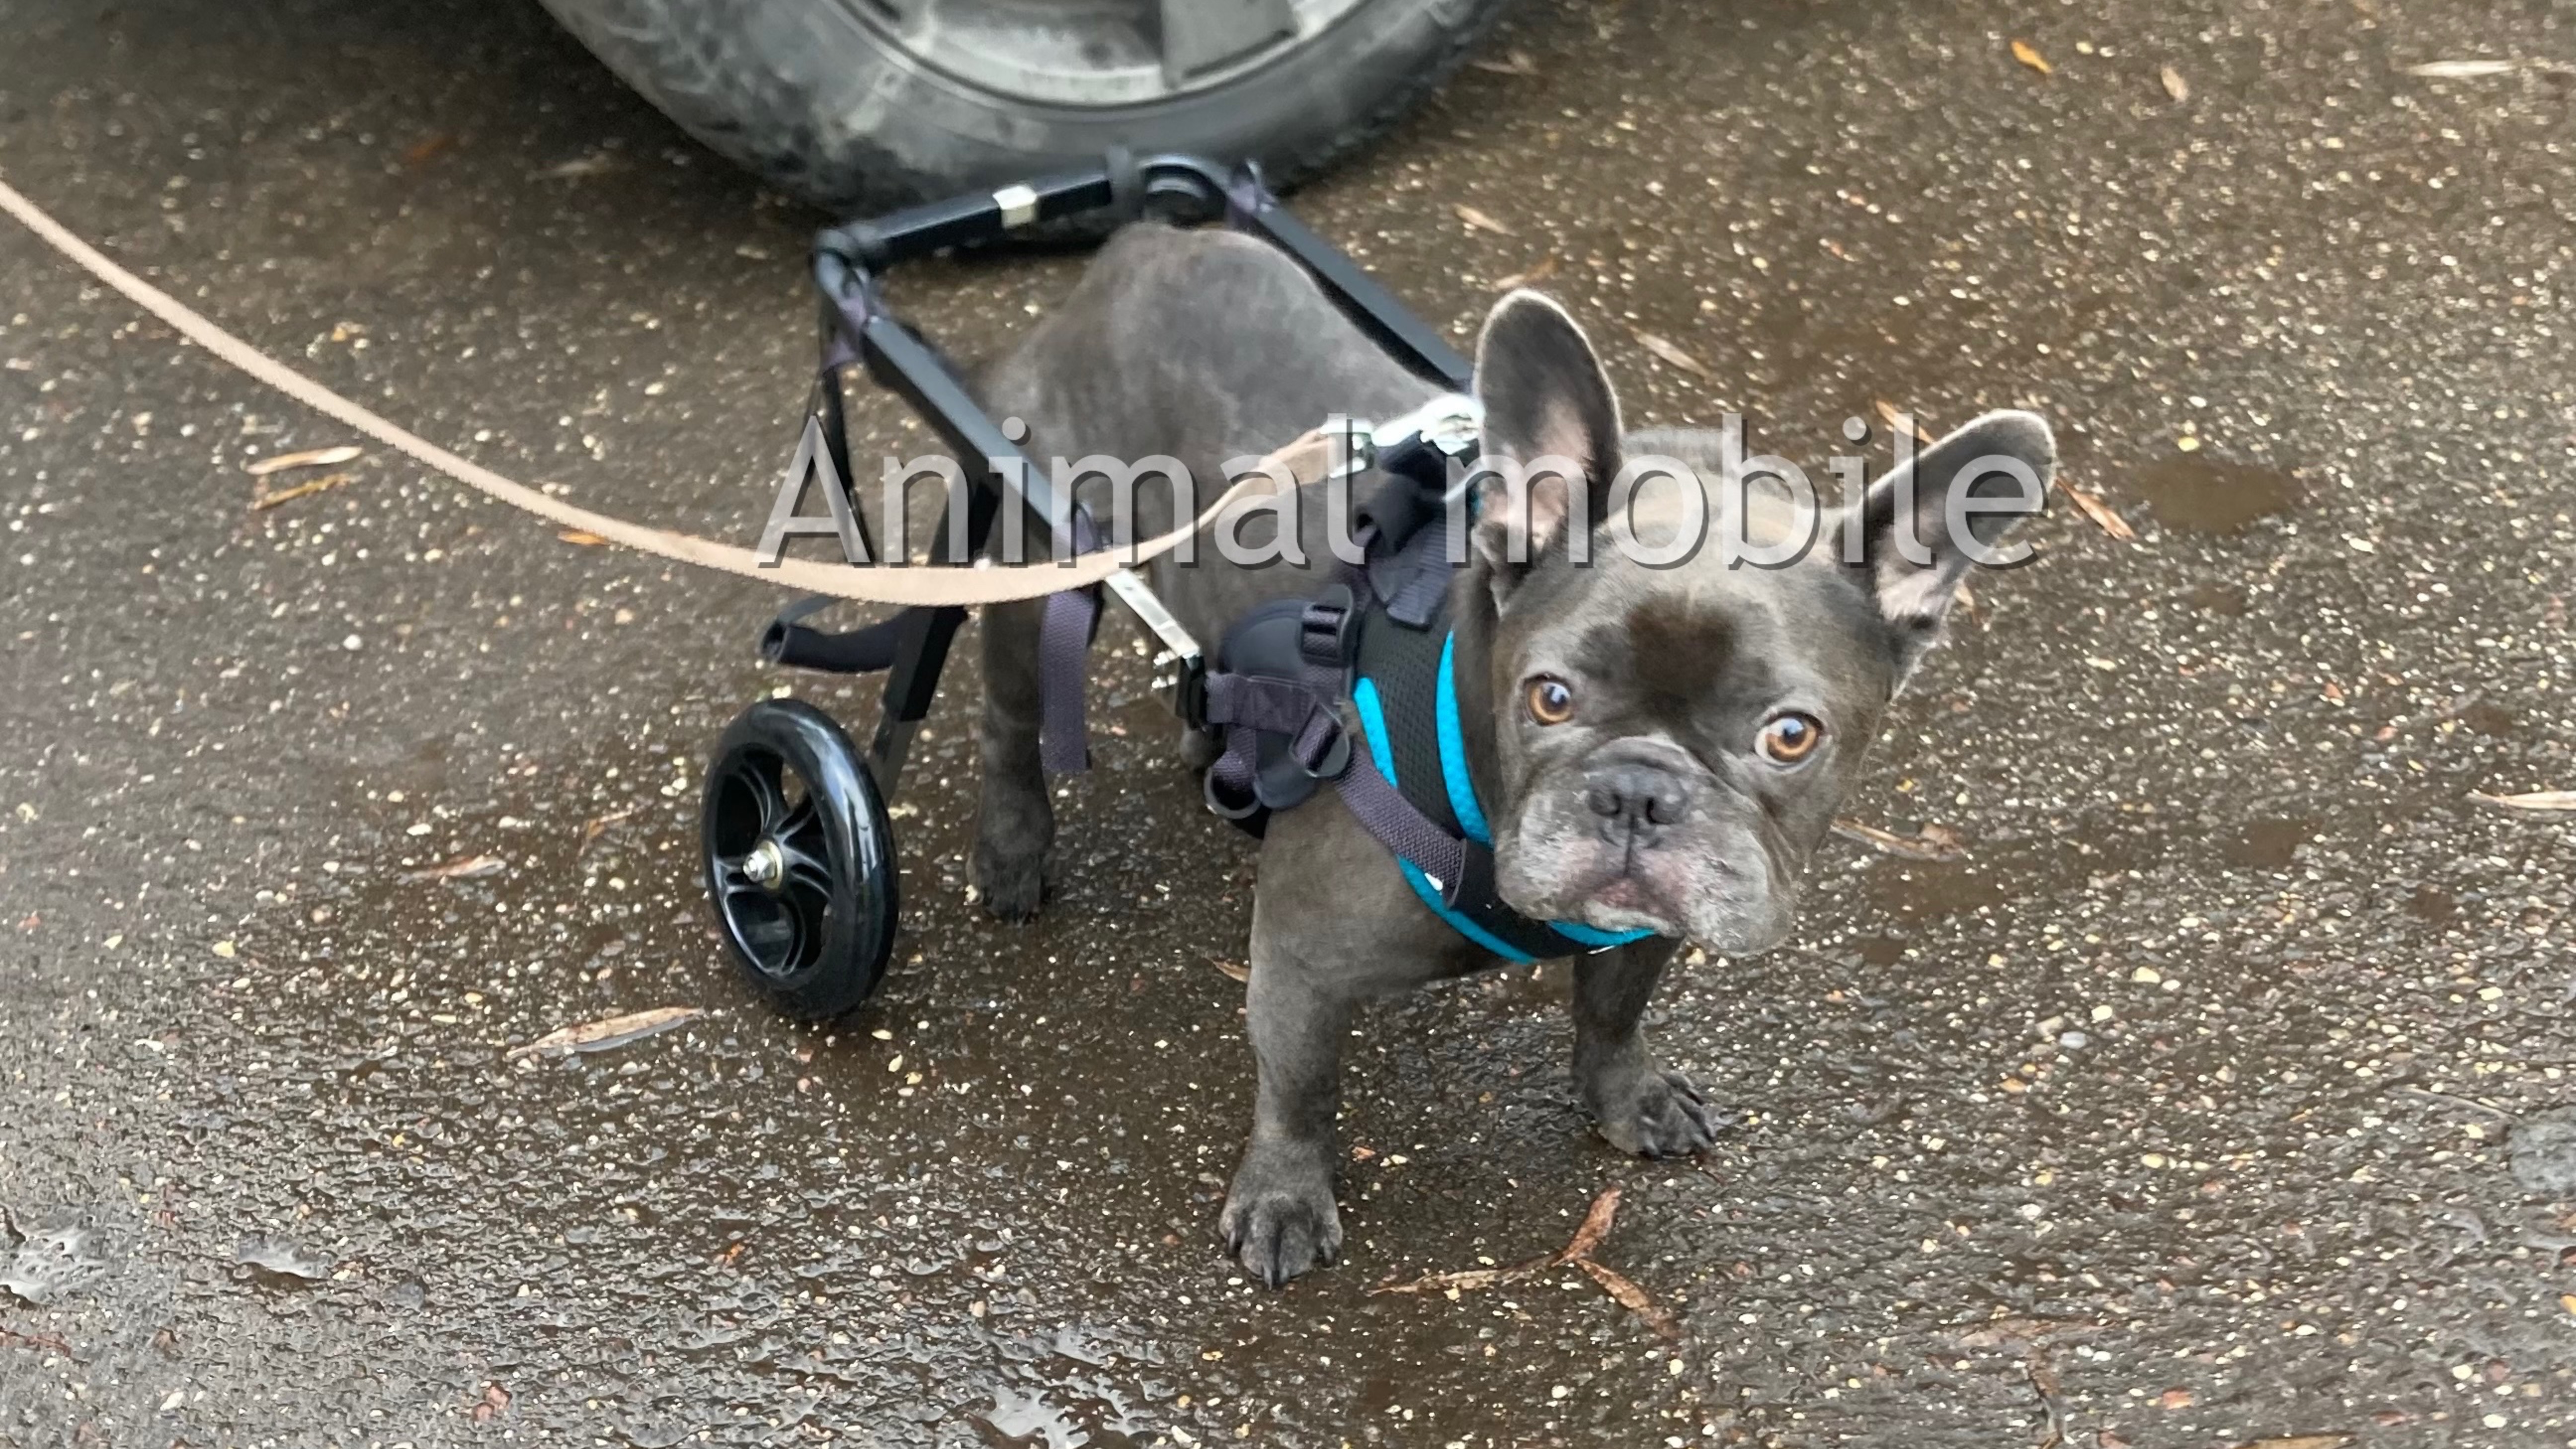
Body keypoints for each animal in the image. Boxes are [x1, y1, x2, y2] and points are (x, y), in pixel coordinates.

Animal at [965, 221, 2051, 1285]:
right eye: (1549, 697)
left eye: (1790, 735)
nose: (1637, 793)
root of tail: (1133, 248)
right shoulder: (1302, 959)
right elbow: (1299, 1085)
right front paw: (1283, 1196)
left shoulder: (1638, 931)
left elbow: (1612, 1012)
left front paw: (1625, 1096)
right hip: (1037, 558)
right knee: (1010, 721)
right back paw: (1014, 849)